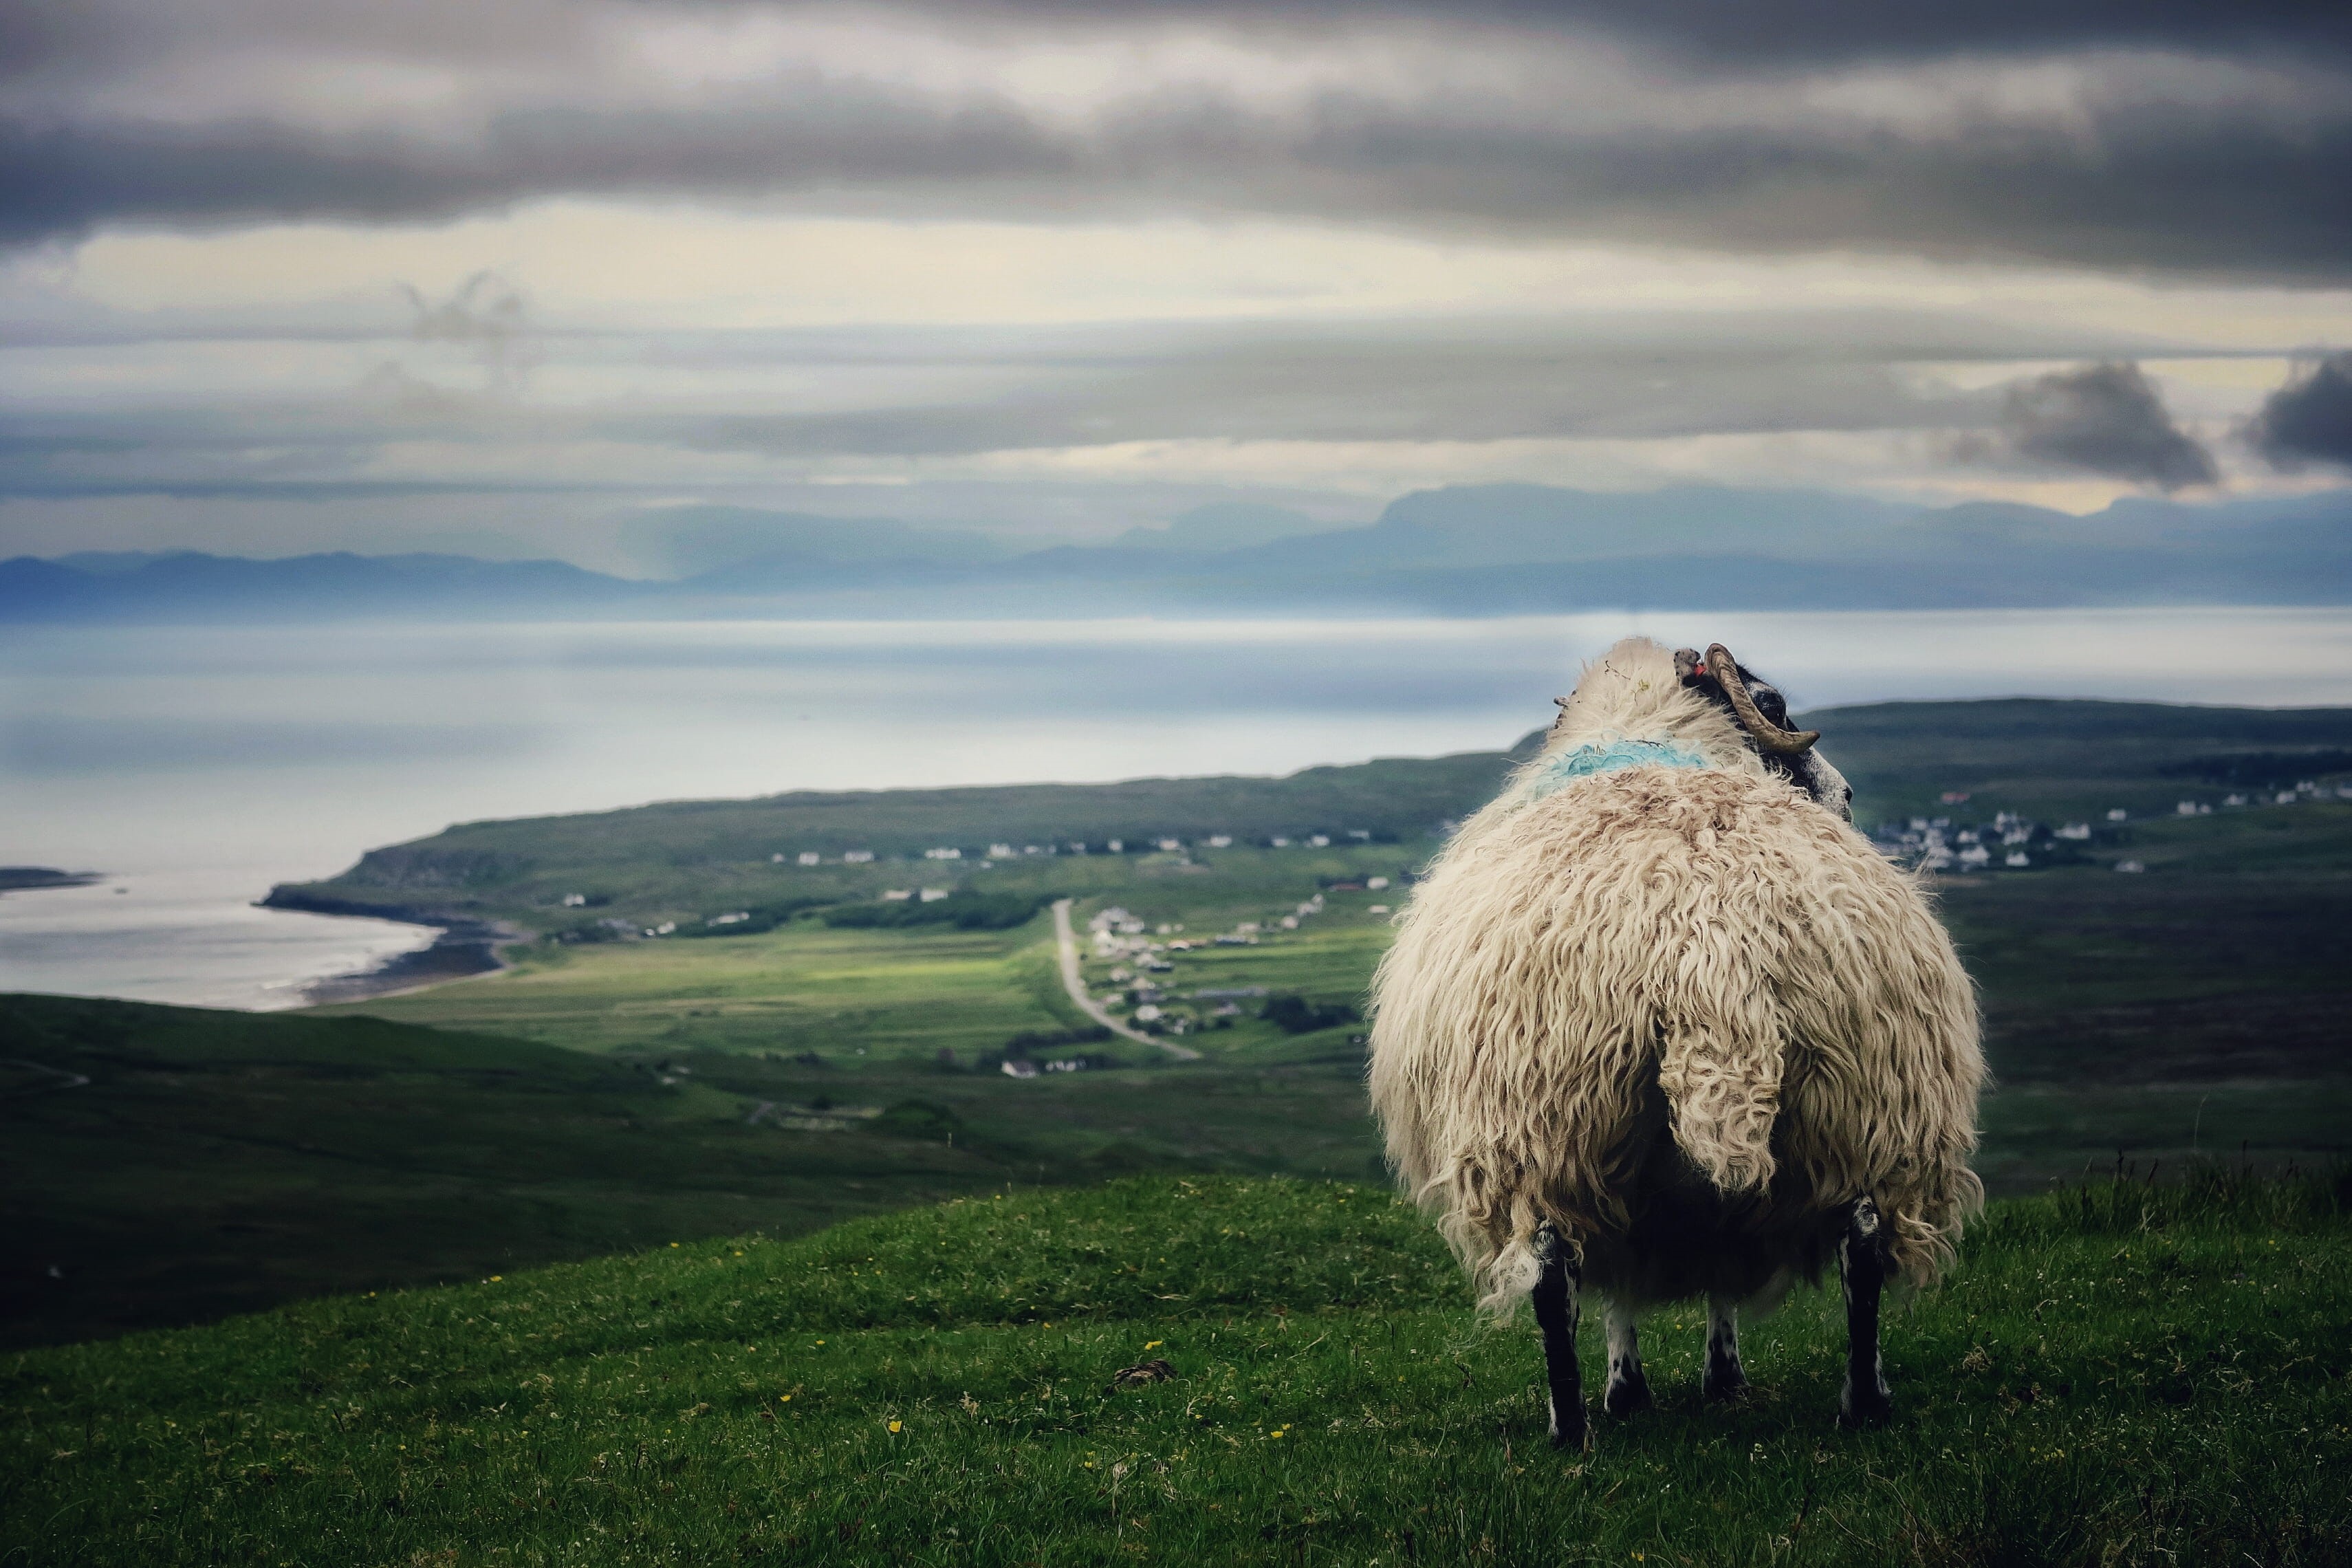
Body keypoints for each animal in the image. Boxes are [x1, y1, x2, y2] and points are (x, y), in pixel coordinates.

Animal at [1368, 636, 1983, 1448]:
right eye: (1775, 704)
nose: (1846, 795)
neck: (1651, 727)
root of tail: (1708, 943)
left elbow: (1624, 1282)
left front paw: (1637, 1388)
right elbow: (1705, 1258)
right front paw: (1709, 1380)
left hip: (1542, 1121)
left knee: (1553, 1270)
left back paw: (1572, 1427)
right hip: (1867, 1098)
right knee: (1863, 1243)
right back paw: (1861, 1401)